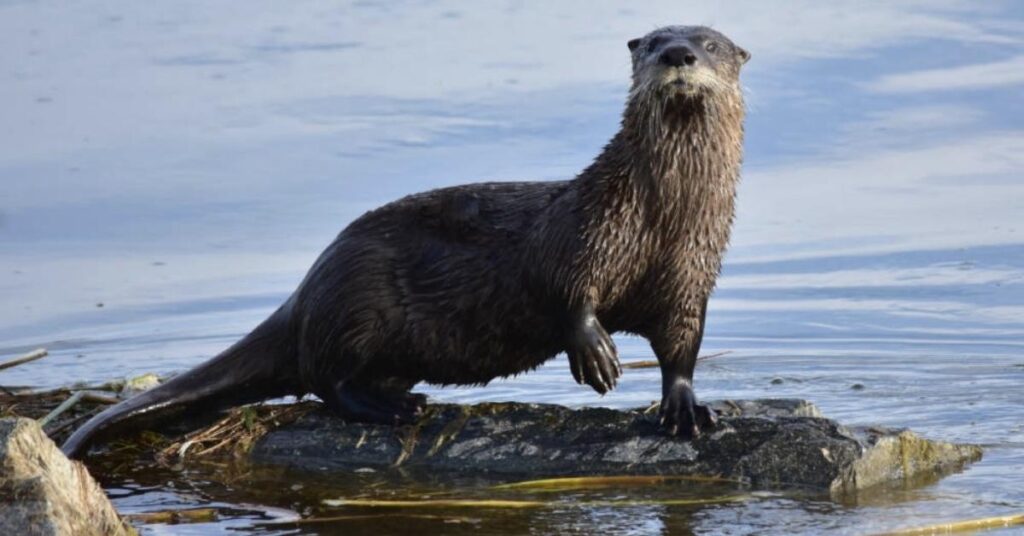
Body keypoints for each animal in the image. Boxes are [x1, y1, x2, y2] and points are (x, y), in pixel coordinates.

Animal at [64, 26, 753, 457]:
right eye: (654, 42)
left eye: (709, 43)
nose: (678, 55)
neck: (661, 219)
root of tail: (306, 290)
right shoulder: (586, 230)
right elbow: (562, 287)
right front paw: (597, 353)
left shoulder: (691, 272)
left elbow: (682, 343)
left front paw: (686, 408)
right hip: (357, 303)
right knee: (326, 379)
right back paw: (394, 408)